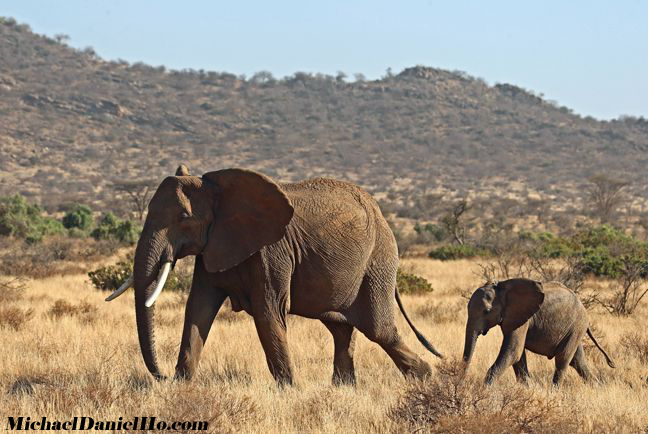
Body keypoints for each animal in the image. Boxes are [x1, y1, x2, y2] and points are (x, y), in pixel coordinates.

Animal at [107, 167, 440, 386]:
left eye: (184, 218)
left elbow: (269, 312)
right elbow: (198, 309)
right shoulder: (213, 246)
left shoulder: (272, 251)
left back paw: (427, 378)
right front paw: (182, 386)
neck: (218, 189)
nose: (163, 376)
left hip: (378, 260)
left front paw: (290, 391)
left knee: (378, 329)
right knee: (341, 328)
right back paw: (345, 389)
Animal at [460, 276, 612, 384]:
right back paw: (597, 387)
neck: (502, 287)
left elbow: (513, 351)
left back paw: (555, 392)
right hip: (575, 329)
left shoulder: (522, 317)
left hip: (577, 326)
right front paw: (527, 387)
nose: (461, 384)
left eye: (487, 311)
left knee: (562, 359)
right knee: (577, 361)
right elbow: (517, 354)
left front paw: (486, 389)